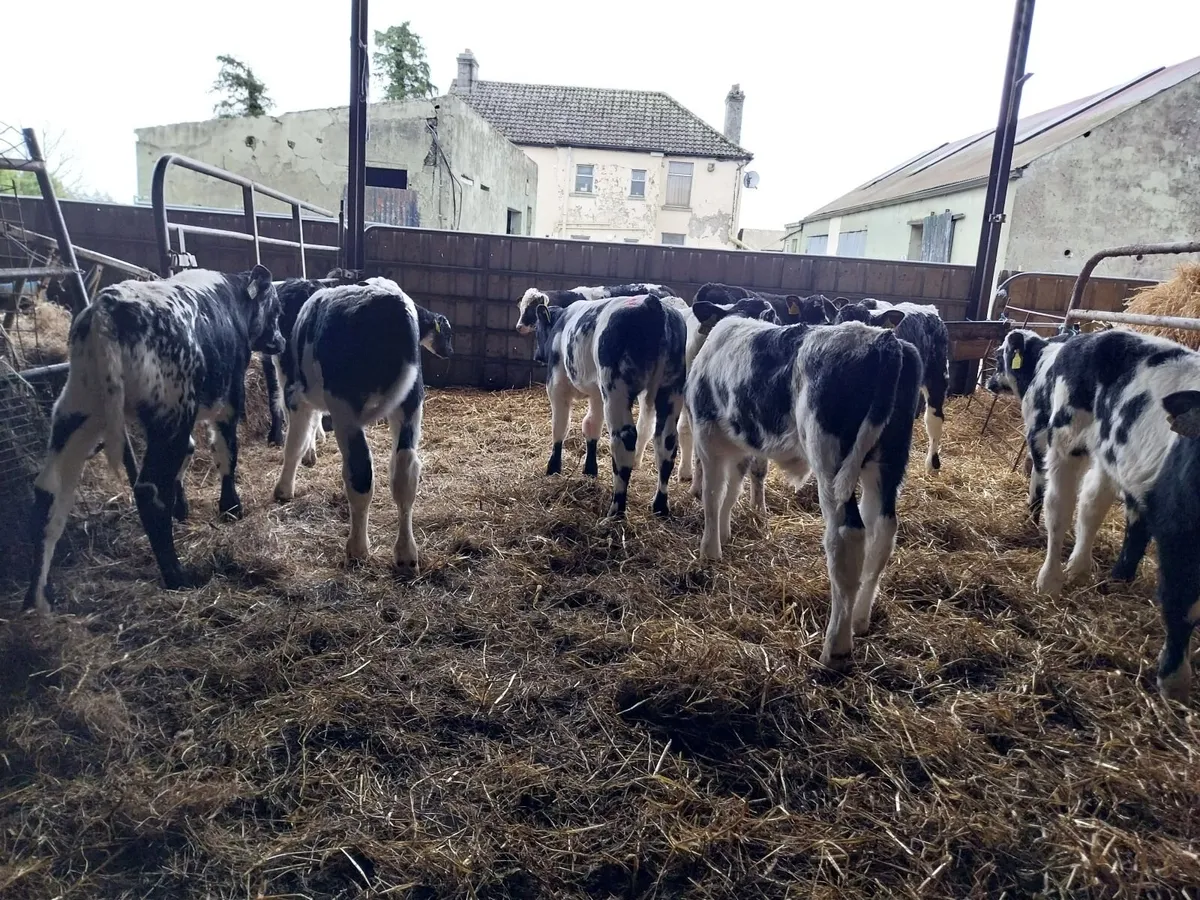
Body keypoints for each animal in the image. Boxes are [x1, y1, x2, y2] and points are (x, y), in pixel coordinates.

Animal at [25, 266, 284, 613]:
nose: (280, 340)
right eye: (276, 310)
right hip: (171, 407)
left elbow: (188, 453)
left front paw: (182, 507)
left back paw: (37, 597)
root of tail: (108, 308)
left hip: (78, 408)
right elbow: (226, 451)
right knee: (149, 489)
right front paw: (231, 507)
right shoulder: (229, 397)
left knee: (48, 491)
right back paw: (177, 575)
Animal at [272, 277, 452, 570]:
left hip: (344, 407)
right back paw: (405, 553)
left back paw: (357, 548)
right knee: (405, 471)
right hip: (411, 401)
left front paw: (284, 488)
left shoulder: (294, 391)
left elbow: (294, 443)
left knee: (360, 472)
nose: (449, 351)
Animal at [531, 292, 687, 519]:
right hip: (671, 389)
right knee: (666, 442)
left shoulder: (556, 383)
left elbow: (560, 426)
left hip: (616, 389)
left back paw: (616, 511)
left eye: (537, 329)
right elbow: (591, 426)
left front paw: (553, 468)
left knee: (624, 439)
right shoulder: (597, 393)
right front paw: (590, 470)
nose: (536, 356)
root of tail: (652, 303)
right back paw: (660, 506)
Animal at [687, 311, 921, 669]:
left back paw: (836, 646)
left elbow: (713, 496)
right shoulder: (740, 441)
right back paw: (860, 620)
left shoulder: (707, 433)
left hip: (830, 463)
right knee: (883, 533)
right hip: (887, 463)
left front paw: (710, 551)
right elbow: (732, 490)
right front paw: (725, 535)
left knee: (846, 536)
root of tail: (883, 339)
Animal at [989, 326, 1200, 702]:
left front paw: (1173, 679)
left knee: (1069, 506)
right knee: (1081, 506)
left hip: (1074, 443)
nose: (987, 380)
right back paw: (1073, 574)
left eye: (1000, 356)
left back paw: (1059, 576)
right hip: (1083, 444)